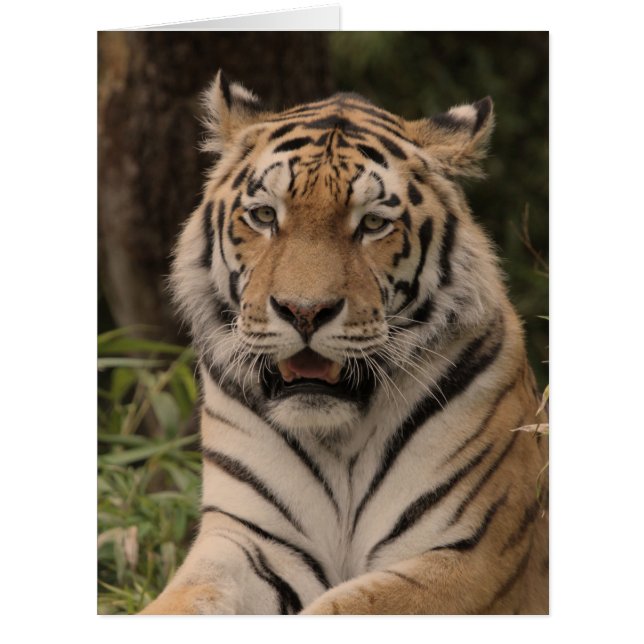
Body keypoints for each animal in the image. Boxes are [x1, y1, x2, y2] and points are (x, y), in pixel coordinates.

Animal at [140, 70, 548, 615]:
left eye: (372, 223)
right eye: (264, 216)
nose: (304, 311)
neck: (340, 439)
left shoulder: (470, 554)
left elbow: (343, 607)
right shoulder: (251, 540)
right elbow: (183, 600)